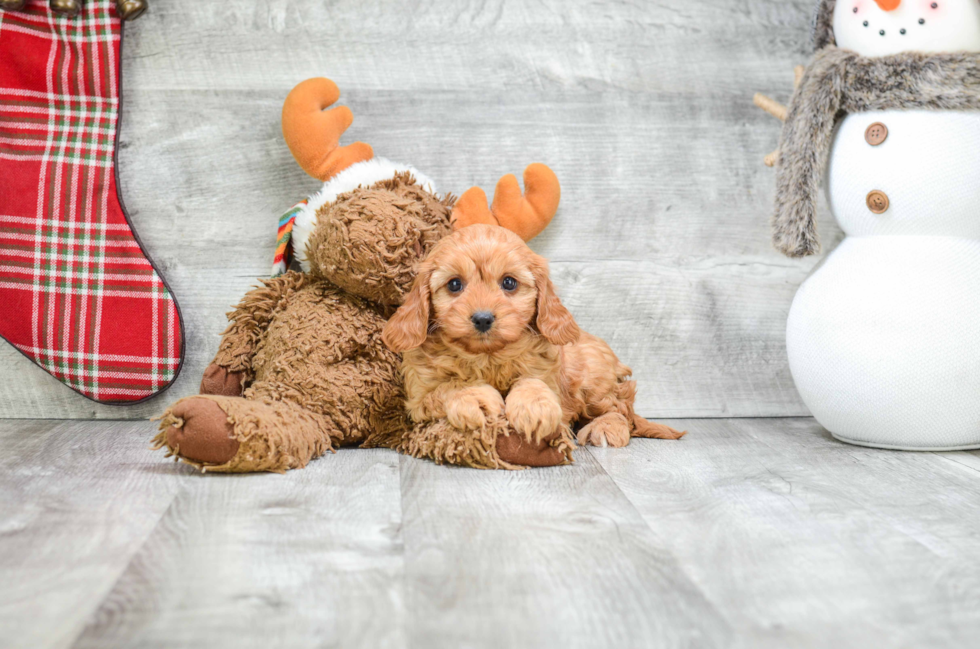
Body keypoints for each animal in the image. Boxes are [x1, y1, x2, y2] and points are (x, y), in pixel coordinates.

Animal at [378, 223, 684, 456]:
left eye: (509, 283)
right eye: (454, 284)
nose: (483, 318)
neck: (487, 356)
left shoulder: (547, 373)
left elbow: (532, 382)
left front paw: (535, 408)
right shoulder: (418, 398)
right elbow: (448, 387)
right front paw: (476, 397)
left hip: (593, 381)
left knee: (621, 410)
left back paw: (606, 428)